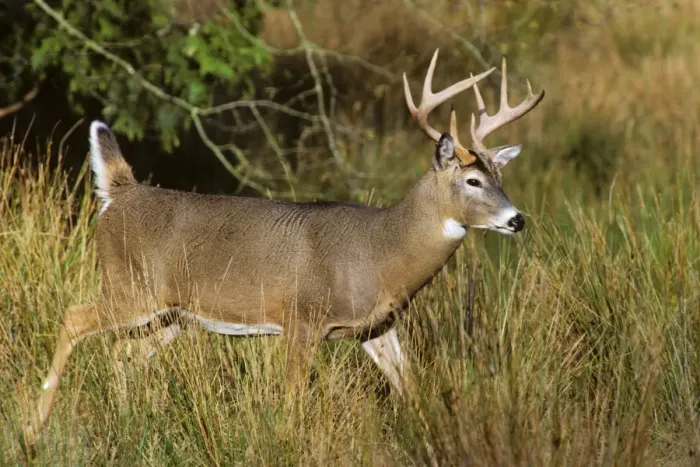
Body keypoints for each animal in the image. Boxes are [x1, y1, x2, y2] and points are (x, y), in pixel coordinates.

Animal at [23, 49, 544, 444]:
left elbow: (410, 387)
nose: (516, 219)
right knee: (73, 319)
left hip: (172, 314)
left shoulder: (376, 326)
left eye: (501, 177)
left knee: (121, 354)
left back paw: (128, 422)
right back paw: (34, 426)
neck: (382, 253)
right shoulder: (302, 317)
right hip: (130, 285)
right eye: (473, 180)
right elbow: (293, 399)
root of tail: (120, 194)